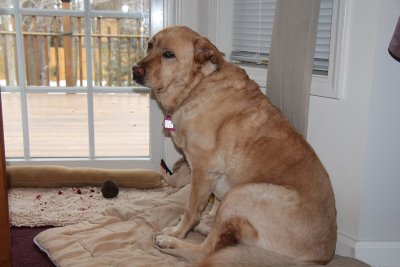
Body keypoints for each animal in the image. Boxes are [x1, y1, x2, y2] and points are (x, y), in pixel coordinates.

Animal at [133, 26, 336, 266]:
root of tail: (317, 260)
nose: (134, 70)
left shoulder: (203, 172)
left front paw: (178, 232)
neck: (197, 87)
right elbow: (212, 207)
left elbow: (192, 209)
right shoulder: (214, 181)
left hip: (242, 193)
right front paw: (205, 219)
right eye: (150, 46)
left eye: (168, 54)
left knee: (206, 251)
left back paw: (171, 242)